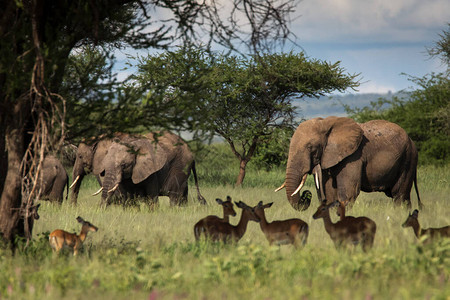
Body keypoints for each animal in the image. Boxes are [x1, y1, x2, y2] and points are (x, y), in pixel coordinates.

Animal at [280, 116, 424, 212]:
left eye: (310, 147)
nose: (306, 194)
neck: (326, 123)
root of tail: (412, 142)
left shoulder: (354, 157)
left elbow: (348, 193)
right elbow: (330, 194)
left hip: (408, 160)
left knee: (400, 196)